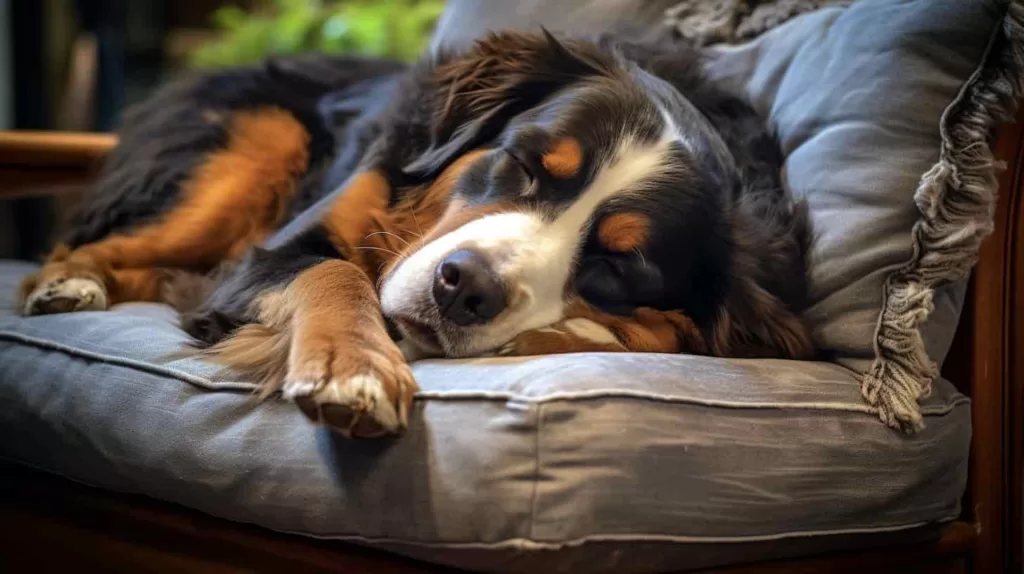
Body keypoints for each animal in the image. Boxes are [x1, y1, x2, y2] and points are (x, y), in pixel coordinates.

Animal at [18, 31, 815, 437]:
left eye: (619, 267)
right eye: (524, 164)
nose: (462, 289)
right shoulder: (277, 248)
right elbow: (333, 270)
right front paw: (354, 366)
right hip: (259, 145)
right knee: (108, 239)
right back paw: (67, 281)